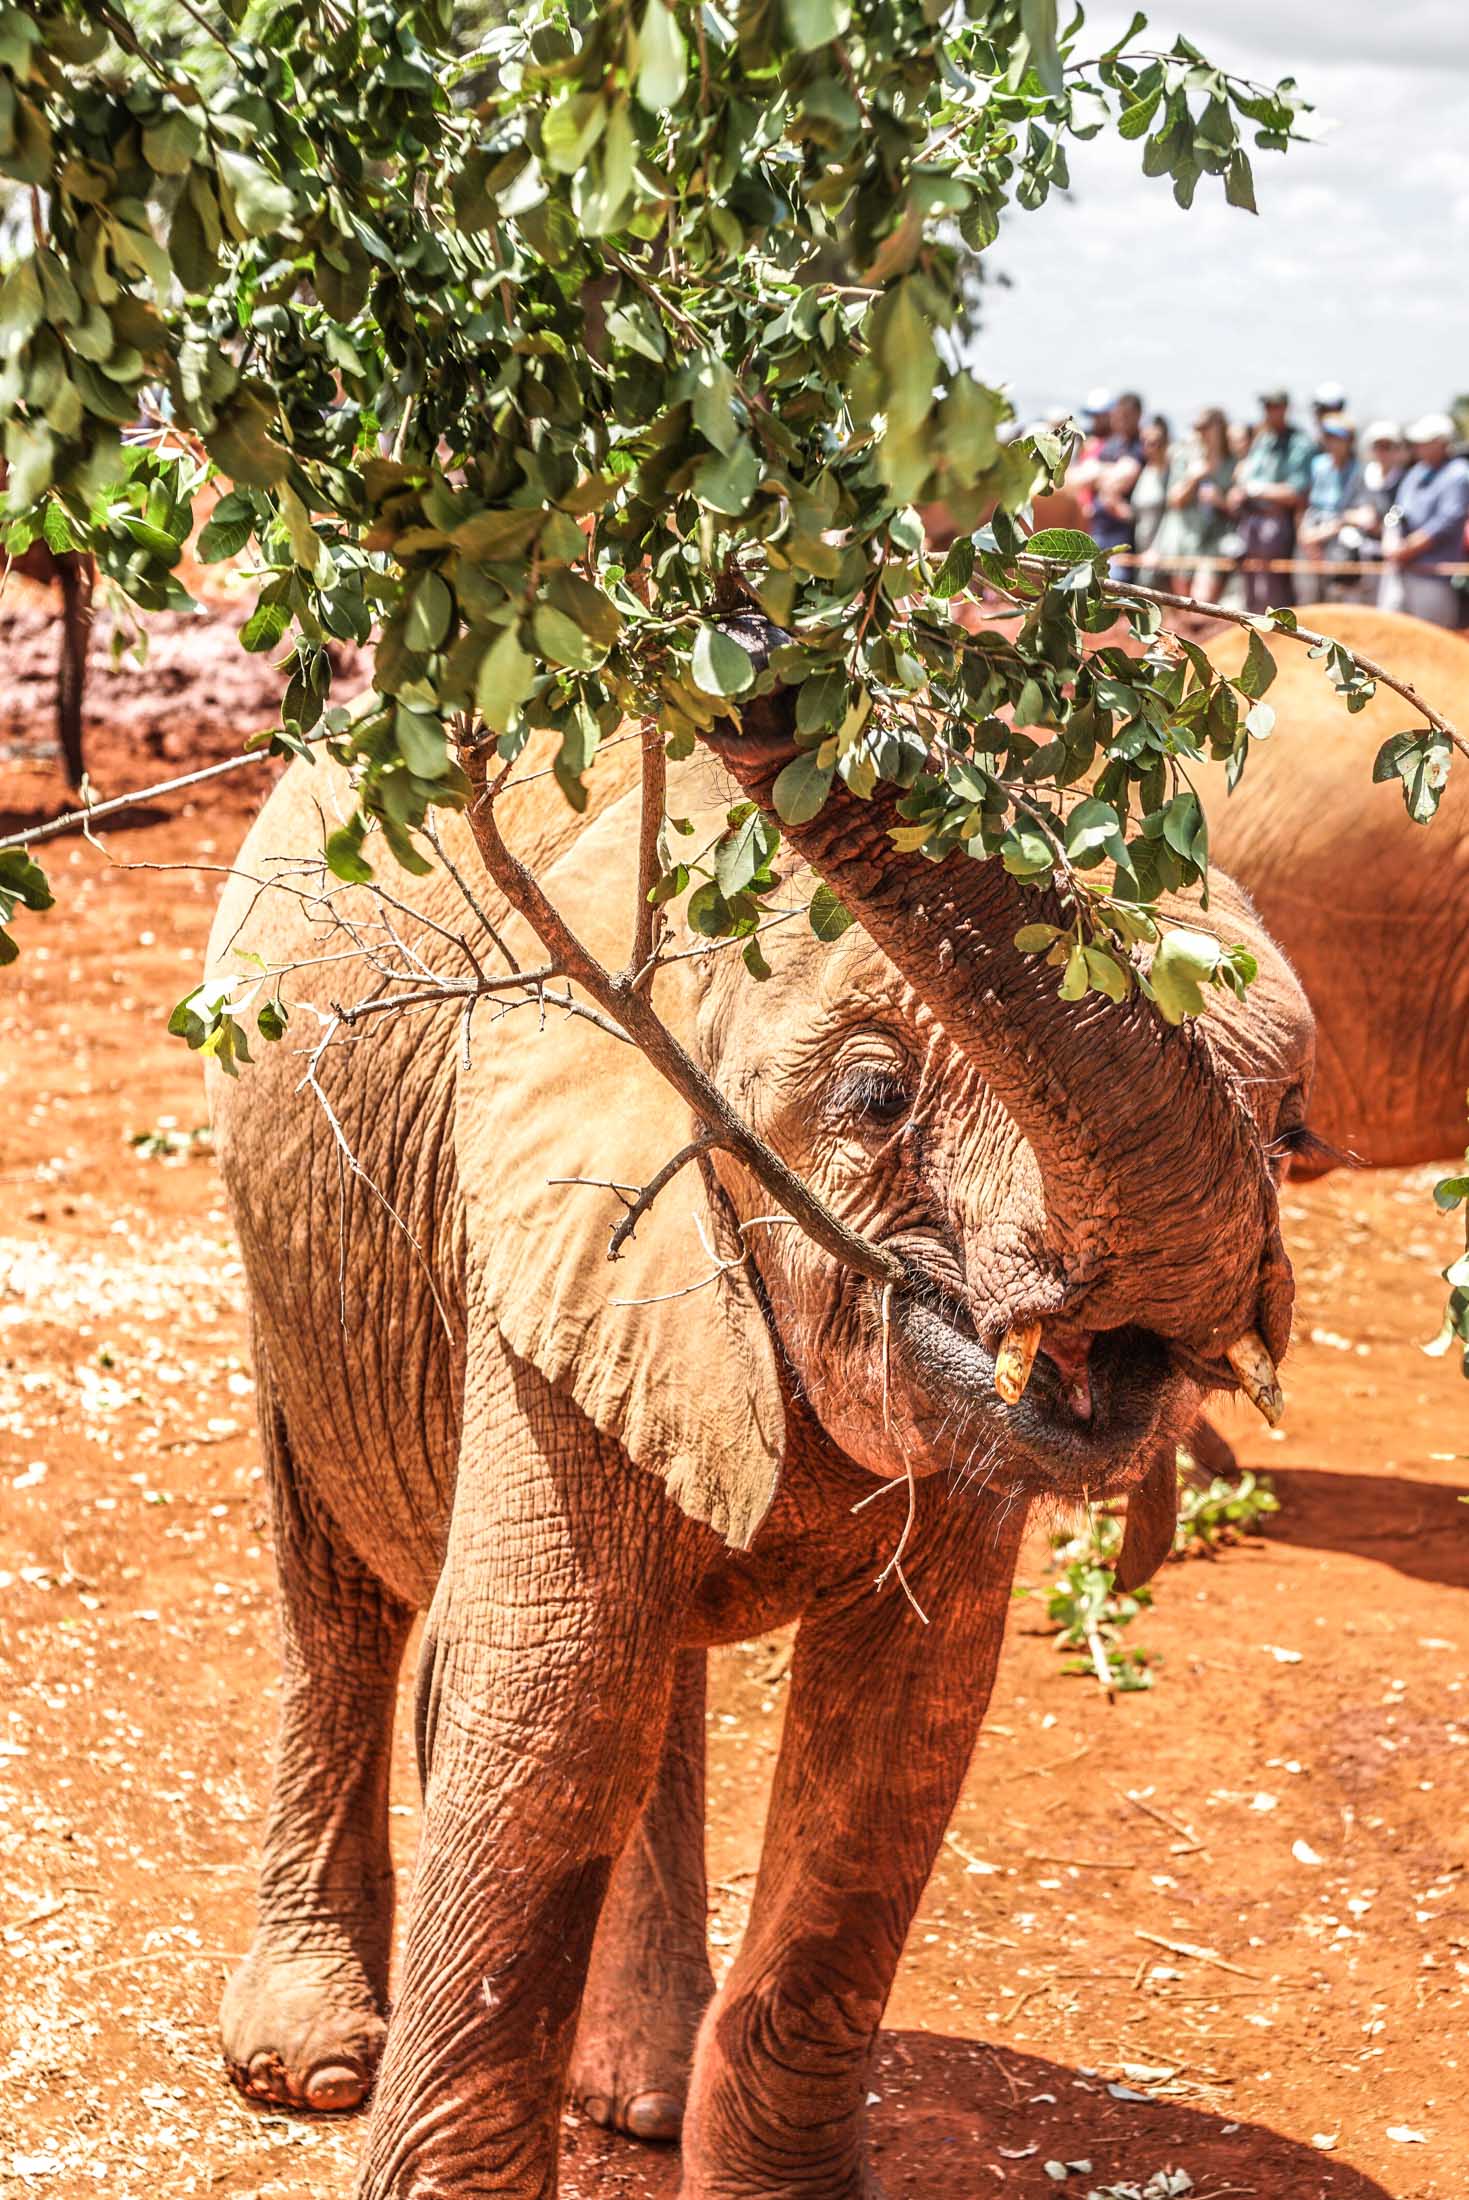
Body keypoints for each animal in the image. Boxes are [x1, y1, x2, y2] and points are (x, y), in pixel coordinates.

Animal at [203, 648, 1313, 2197]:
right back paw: (305, 2065)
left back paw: (642, 2097)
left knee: (641, 1683)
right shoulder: (557, 1241)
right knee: (347, 1602)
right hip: (293, 1255)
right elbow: (543, 1709)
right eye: (876, 1098)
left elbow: (896, 1732)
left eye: (1290, 1124)